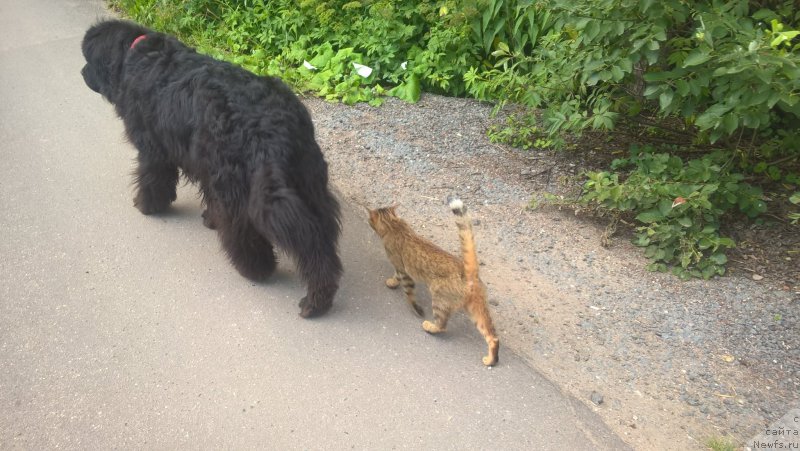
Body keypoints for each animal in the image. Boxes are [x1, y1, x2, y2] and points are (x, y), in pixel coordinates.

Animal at [80, 20, 340, 318]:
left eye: (88, 59)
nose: (82, 72)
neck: (137, 55)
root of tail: (274, 123)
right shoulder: (205, 166)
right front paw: (209, 218)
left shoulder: (153, 151)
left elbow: (152, 180)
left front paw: (147, 206)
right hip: (306, 182)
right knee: (318, 240)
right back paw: (320, 298)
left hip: (240, 189)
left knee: (249, 233)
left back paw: (258, 271)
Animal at [368, 199, 500, 368]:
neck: (394, 225)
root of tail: (467, 272)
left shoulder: (403, 271)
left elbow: (407, 292)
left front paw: (413, 305)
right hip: (476, 310)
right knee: (492, 336)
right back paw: (491, 359)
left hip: (439, 299)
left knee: (442, 326)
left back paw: (429, 326)